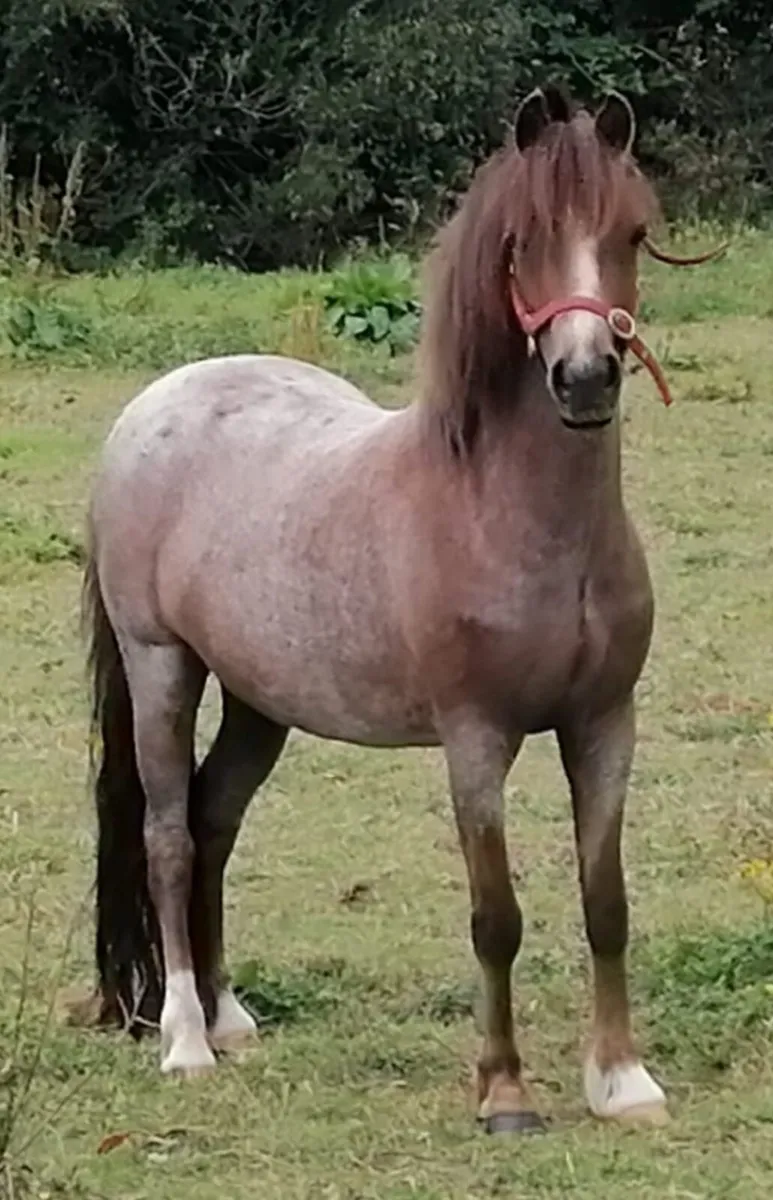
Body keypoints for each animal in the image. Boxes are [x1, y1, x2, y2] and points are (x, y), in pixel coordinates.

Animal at [82, 87, 723, 1134]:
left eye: (631, 232)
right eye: (522, 240)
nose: (585, 378)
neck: (500, 515)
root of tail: (158, 402)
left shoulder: (602, 726)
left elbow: (605, 902)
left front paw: (622, 1081)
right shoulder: (475, 741)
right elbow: (495, 916)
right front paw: (503, 1092)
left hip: (261, 700)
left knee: (215, 822)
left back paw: (228, 1016)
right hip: (160, 668)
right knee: (169, 836)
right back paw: (183, 1039)